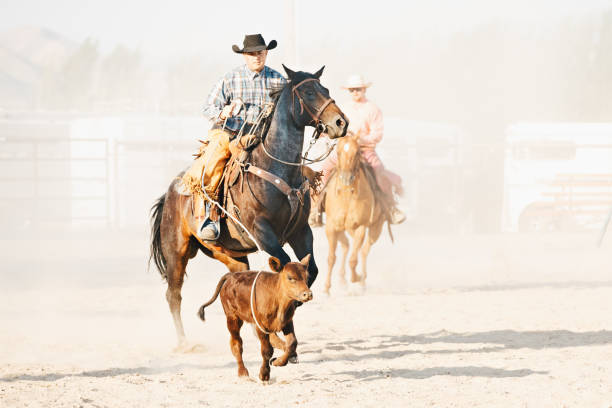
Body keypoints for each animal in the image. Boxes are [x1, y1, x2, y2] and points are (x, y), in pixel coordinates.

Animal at [149, 65, 350, 350]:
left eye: (325, 89)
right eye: (309, 93)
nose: (341, 123)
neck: (277, 167)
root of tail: (169, 194)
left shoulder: (301, 231)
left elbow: (311, 269)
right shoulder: (263, 232)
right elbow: (284, 265)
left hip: (230, 255)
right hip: (176, 250)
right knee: (173, 294)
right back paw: (185, 343)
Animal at [326, 135, 388, 294]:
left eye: (358, 152)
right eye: (338, 152)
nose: (346, 178)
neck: (347, 195)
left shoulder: (361, 227)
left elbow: (353, 260)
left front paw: (357, 278)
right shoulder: (331, 227)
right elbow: (331, 258)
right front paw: (326, 289)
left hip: (376, 228)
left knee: (363, 251)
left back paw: (362, 282)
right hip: (343, 229)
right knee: (347, 246)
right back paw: (343, 280)